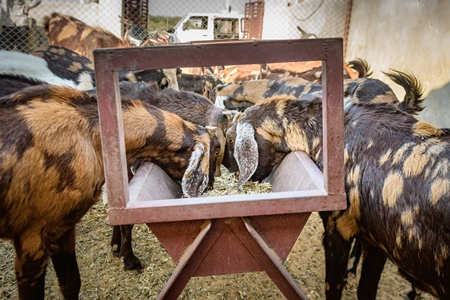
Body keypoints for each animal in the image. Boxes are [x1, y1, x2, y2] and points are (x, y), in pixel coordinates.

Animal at [0, 83, 216, 298]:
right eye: (213, 152)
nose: (210, 186)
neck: (90, 136)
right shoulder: (32, 237)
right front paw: (130, 260)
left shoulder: (62, 226)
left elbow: (71, 283)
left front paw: (119, 250)